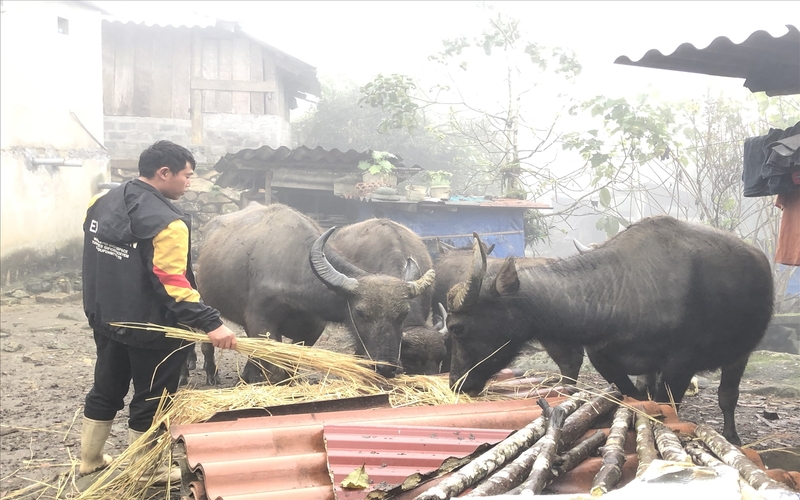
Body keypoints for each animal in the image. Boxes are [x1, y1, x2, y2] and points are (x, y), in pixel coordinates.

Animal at [194, 203, 434, 382]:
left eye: (403, 314)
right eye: (361, 313)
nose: (385, 367)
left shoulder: (313, 329)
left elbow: (291, 364)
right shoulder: (262, 323)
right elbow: (276, 367)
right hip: (206, 299)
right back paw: (212, 375)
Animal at [446, 216, 772, 446]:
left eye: (457, 328)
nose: (456, 383)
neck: (623, 290)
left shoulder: (680, 365)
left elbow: (668, 406)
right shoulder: (602, 357)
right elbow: (633, 396)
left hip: (741, 353)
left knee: (727, 395)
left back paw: (732, 436)